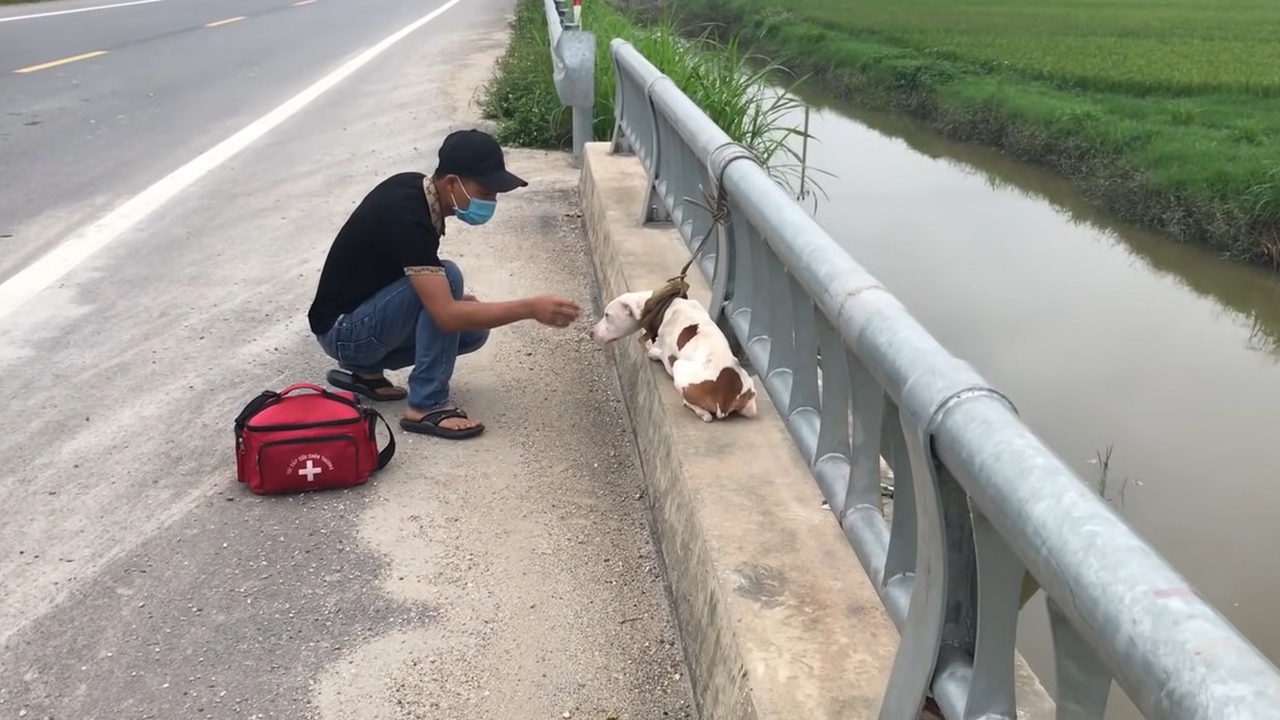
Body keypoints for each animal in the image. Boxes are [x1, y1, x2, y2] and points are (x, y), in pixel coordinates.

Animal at [591, 286, 757, 420]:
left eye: (607, 315)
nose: (591, 333)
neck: (663, 306)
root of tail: (725, 397)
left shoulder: (668, 358)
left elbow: (659, 353)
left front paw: (653, 351)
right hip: (749, 392)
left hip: (679, 367)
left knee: (705, 414)